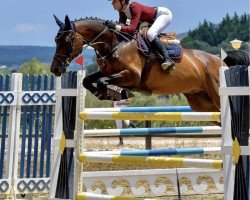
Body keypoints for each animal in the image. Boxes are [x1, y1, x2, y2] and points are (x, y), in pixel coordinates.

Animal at [50, 15, 246, 112]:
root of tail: (221, 61)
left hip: (216, 95)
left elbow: (104, 81)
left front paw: (115, 93)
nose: (55, 69)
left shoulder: (132, 76)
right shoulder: (107, 71)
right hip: (202, 104)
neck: (114, 44)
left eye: (66, 40)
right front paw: (108, 94)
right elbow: (88, 80)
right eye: (55, 39)